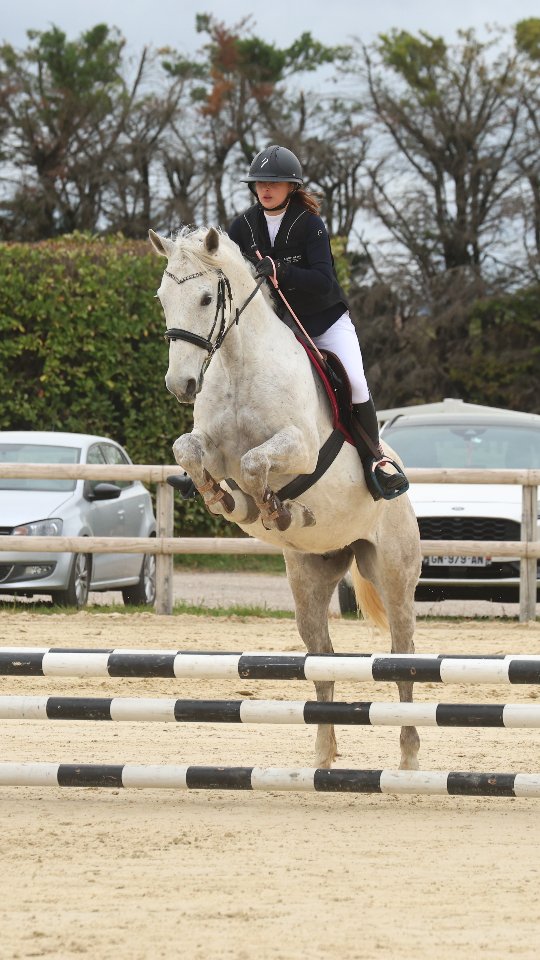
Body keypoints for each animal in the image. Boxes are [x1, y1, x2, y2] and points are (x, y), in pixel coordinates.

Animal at [149, 225, 422, 770]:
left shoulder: (299, 448)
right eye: (164, 299)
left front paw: (273, 508)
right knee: (323, 661)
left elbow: (256, 464)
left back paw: (407, 758)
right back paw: (322, 756)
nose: (181, 385)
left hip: (394, 572)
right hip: (310, 578)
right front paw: (226, 501)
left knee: (401, 656)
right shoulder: (208, 448)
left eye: (207, 298)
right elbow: (190, 450)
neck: (237, 365)